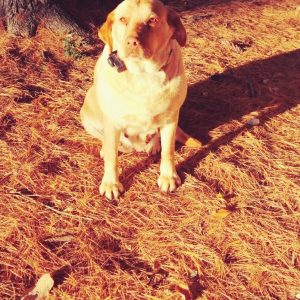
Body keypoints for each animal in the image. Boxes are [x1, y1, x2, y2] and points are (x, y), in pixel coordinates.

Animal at [81, 0, 200, 202]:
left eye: (152, 20)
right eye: (122, 19)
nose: (131, 42)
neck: (143, 74)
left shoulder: (170, 119)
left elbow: (168, 151)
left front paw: (168, 176)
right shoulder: (112, 122)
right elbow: (112, 156)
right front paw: (111, 183)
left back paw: (153, 145)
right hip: (87, 112)